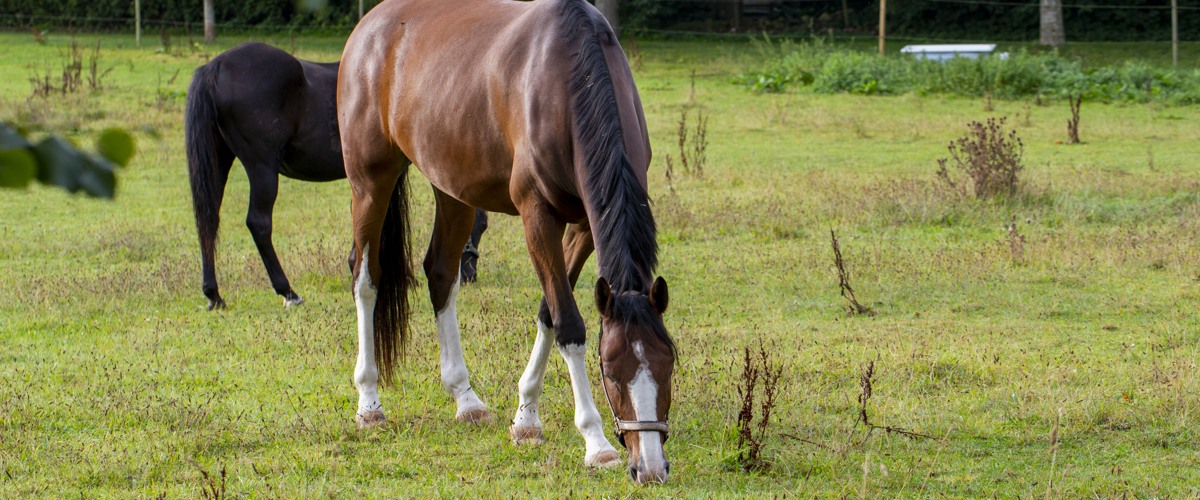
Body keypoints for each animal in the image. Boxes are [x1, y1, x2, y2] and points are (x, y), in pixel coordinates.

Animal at [340, 0, 676, 484]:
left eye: (669, 365)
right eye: (610, 372)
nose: (649, 467)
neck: (570, 77)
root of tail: (371, 24)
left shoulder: (584, 227)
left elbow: (549, 312)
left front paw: (526, 417)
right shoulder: (538, 216)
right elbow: (569, 324)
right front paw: (595, 442)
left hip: (453, 188)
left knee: (440, 273)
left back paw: (466, 399)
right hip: (369, 180)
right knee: (366, 278)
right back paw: (369, 402)